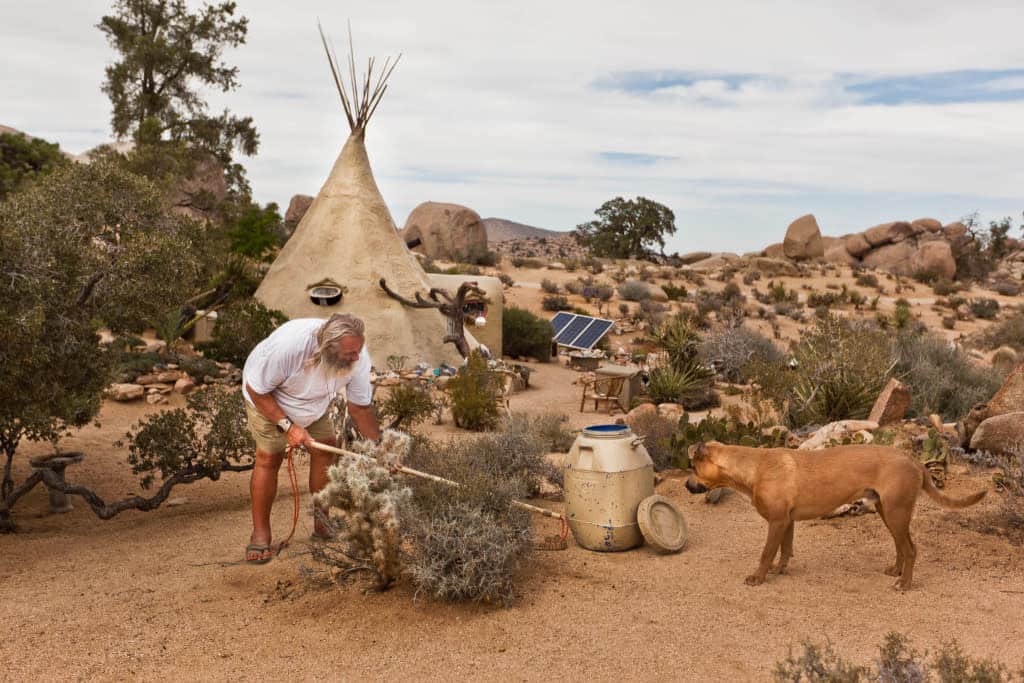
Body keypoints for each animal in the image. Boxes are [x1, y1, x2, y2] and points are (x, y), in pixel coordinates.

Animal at [684, 440, 987, 589]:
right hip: (888, 512)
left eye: (693, 468)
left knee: (911, 549)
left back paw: (905, 583)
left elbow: (766, 553)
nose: (686, 485)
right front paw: (779, 570)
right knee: (902, 547)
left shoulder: (778, 521)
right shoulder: (786, 522)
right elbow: (784, 550)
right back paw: (896, 571)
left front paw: (759, 577)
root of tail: (913, 459)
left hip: (896, 513)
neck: (753, 467)